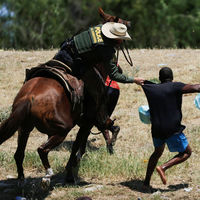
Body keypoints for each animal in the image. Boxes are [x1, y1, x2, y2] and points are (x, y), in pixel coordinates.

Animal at [0, 7, 131, 183]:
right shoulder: (90, 120)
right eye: (122, 23)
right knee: (42, 149)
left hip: (24, 127)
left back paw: (22, 179)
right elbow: (79, 144)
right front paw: (70, 174)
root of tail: (29, 98)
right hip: (62, 129)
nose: (129, 23)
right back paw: (48, 176)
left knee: (19, 154)